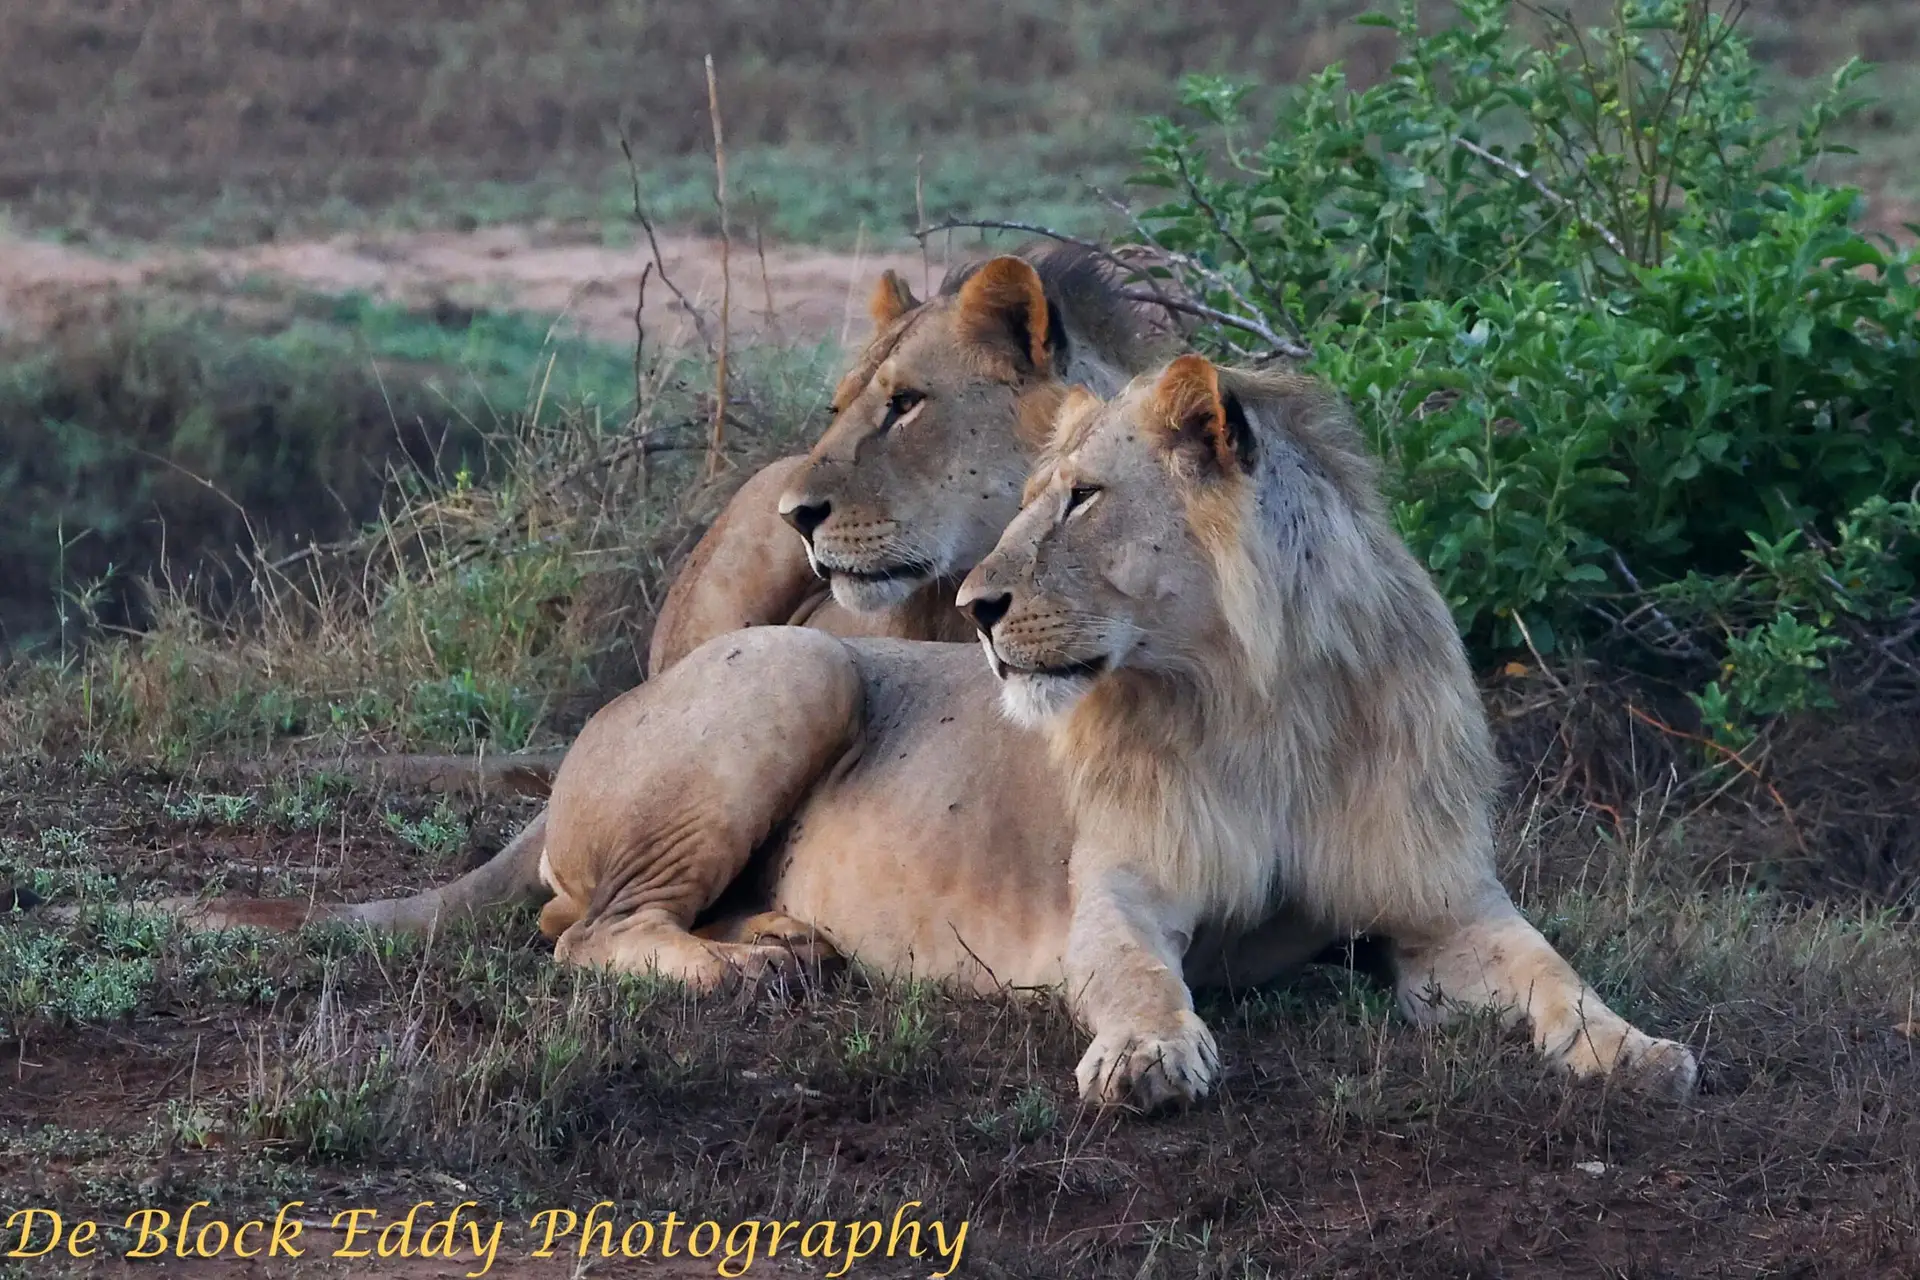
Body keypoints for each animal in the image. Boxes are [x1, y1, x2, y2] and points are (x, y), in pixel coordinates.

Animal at [192, 354, 1698, 1107]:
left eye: (1083, 500)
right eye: (1027, 500)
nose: (972, 608)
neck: (1249, 698)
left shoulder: (1440, 906)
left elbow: (1553, 971)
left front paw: (1639, 1051)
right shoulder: (1118, 893)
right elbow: (1137, 975)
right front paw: (1148, 1058)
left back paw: (786, 939)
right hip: (801, 663)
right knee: (585, 930)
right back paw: (751, 973)